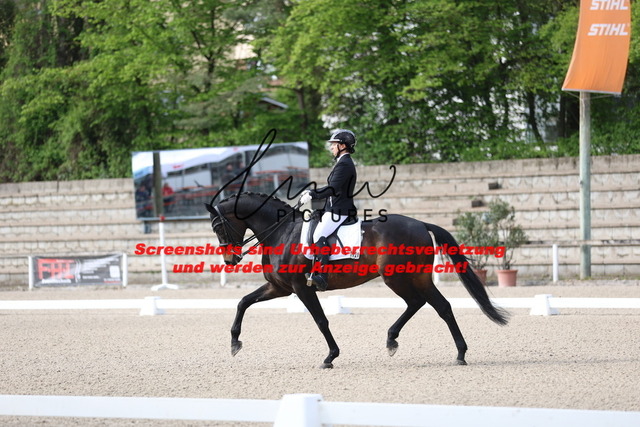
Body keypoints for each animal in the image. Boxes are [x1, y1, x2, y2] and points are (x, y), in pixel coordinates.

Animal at [205, 192, 508, 369]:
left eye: (218, 226)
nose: (230, 260)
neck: (281, 232)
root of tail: (421, 224)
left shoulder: (302, 288)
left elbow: (321, 320)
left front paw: (330, 357)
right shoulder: (279, 287)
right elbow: (243, 302)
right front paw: (234, 343)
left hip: (397, 277)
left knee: (424, 303)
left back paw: (410, 343)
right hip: (415, 277)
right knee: (434, 305)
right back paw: (447, 351)